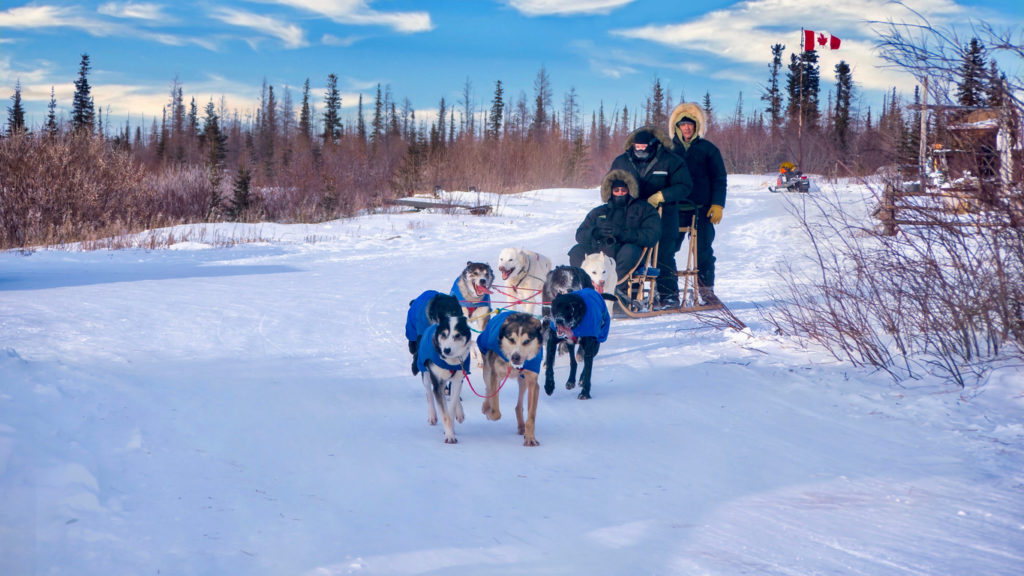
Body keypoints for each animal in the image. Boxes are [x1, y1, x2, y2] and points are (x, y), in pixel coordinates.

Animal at [477, 309, 548, 444]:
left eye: (527, 341)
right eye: (511, 339)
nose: (516, 357)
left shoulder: (533, 382)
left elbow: (531, 416)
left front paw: (530, 437)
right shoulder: (495, 374)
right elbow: (496, 412)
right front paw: (489, 412)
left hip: (523, 381)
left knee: (518, 406)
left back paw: (521, 426)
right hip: (488, 368)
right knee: (488, 387)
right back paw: (485, 406)